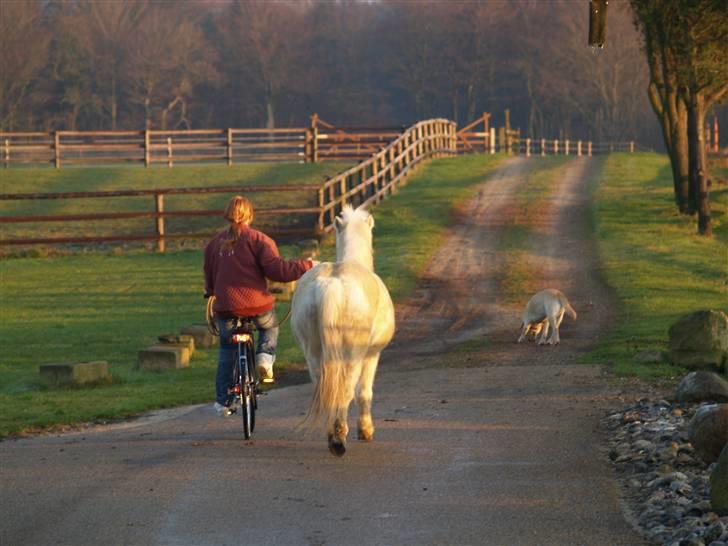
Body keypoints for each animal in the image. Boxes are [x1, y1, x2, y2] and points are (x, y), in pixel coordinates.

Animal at [290, 202, 396, 452]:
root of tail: (330, 285)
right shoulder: (372, 355)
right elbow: (363, 393)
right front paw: (366, 430)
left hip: (314, 354)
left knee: (325, 387)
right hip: (353, 355)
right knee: (346, 391)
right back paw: (338, 437)